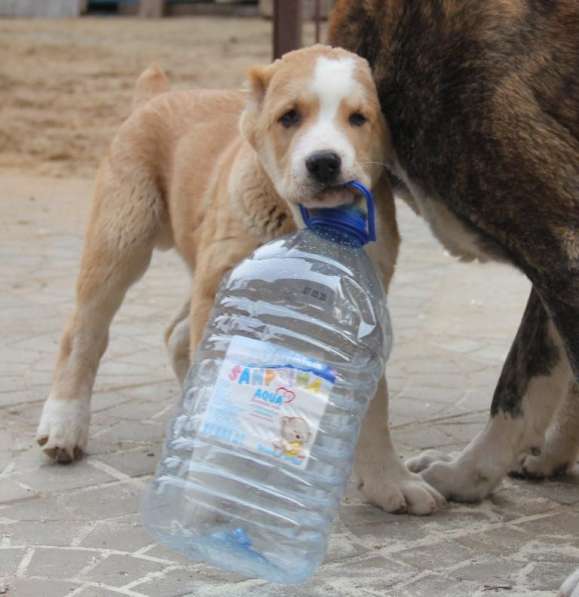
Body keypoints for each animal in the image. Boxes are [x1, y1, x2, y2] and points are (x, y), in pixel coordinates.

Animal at [36, 44, 444, 516]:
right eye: (289, 116)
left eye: (359, 118)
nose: (324, 162)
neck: (306, 225)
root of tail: (155, 96)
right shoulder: (220, 286)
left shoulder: (361, 315)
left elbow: (374, 403)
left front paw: (389, 479)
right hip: (121, 236)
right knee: (84, 333)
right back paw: (64, 424)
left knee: (176, 333)